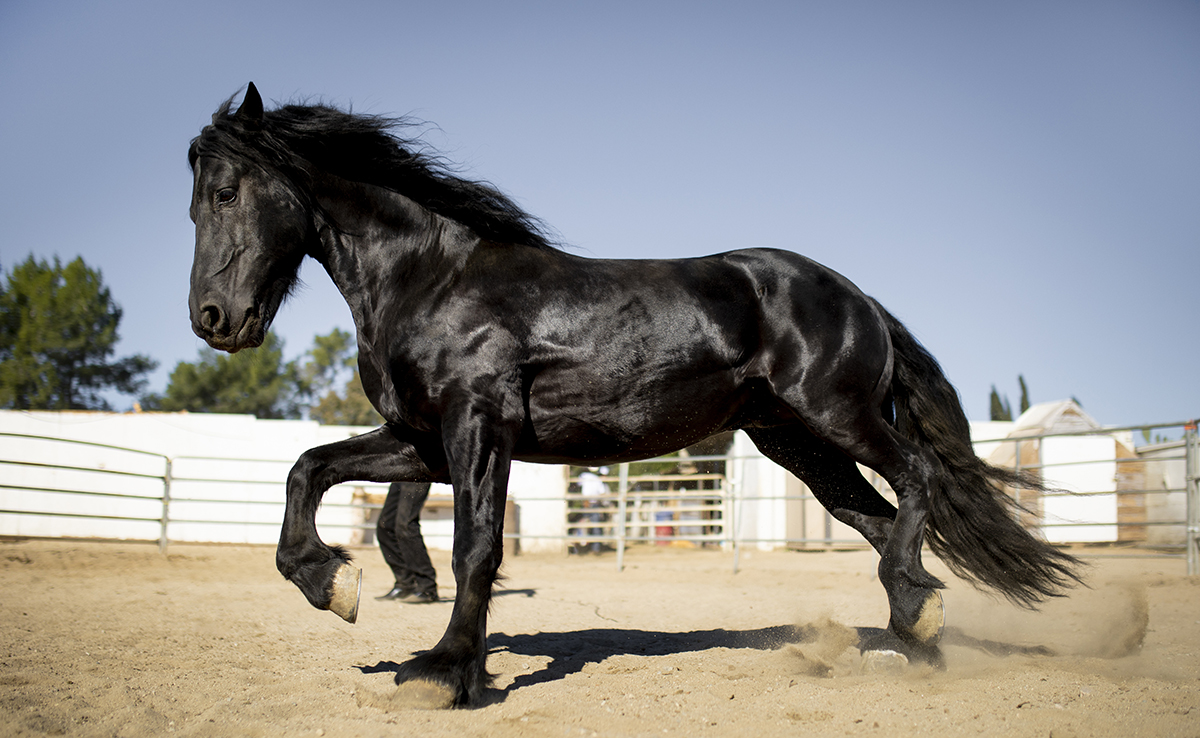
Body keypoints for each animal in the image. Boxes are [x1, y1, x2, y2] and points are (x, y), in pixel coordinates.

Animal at [189, 84, 1089, 705]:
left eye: (226, 192)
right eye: (196, 199)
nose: (213, 319)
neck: (433, 279)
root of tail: (857, 297)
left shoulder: (477, 428)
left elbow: (475, 546)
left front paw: (443, 671)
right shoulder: (424, 443)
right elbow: (308, 468)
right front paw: (330, 585)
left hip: (839, 416)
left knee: (917, 481)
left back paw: (916, 619)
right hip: (797, 444)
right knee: (877, 517)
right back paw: (914, 634)